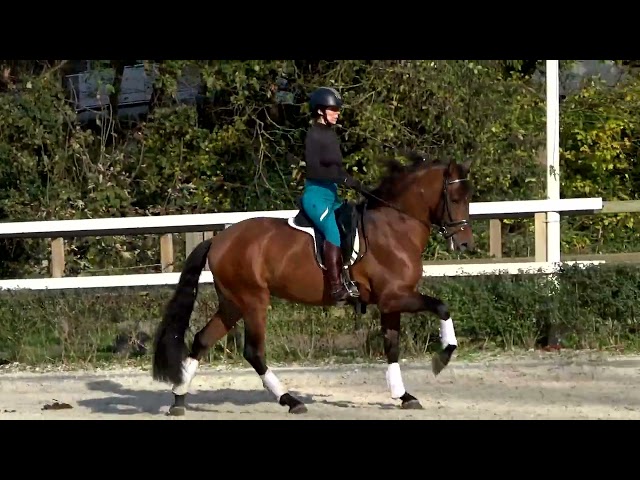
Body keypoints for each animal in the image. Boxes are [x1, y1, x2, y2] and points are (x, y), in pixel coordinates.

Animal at [151, 150, 475, 415]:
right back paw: (290, 401)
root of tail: (219, 239)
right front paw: (442, 358)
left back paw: (178, 399)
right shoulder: (395, 296)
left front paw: (404, 396)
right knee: (253, 351)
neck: (395, 226)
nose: (464, 244)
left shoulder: (390, 302)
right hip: (253, 300)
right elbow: (442, 307)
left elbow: (392, 347)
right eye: (455, 199)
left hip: (232, 303)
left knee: (202, 339)